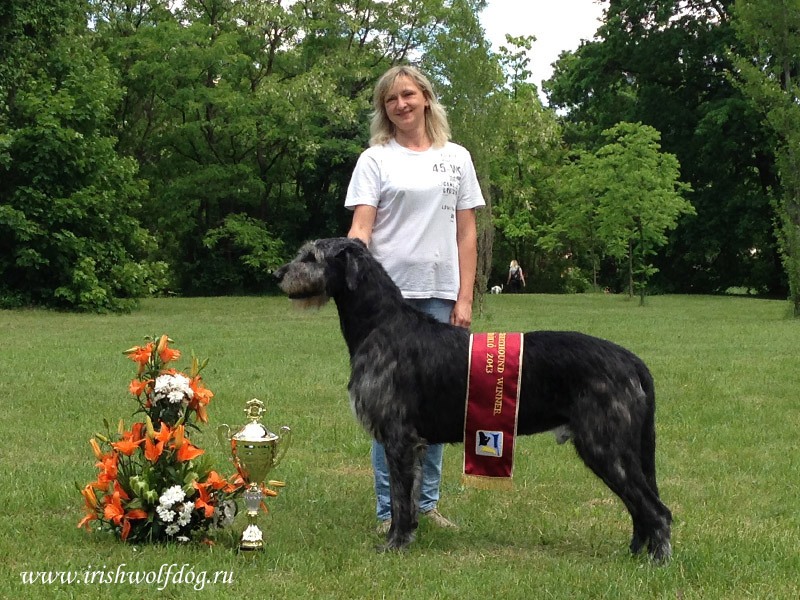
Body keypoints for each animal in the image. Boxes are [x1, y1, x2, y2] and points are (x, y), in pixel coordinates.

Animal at [278, 238, 672, 564]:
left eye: (311, 256)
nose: (278, 273)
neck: (381, 324)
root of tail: (630, 360)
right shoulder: (415, 445)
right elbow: (410, 498)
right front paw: (407, 539)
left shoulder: (398, 439)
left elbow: (400, 500)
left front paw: (393, 545)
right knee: (640, 509)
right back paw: (634, 553)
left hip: (607, 447)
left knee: (657, 511)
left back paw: (657, 562)